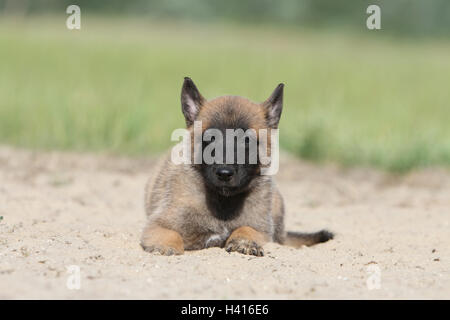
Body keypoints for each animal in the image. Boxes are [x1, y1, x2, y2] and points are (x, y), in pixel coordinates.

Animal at [142, 78, 334, 258]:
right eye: (210, 138)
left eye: (247, 140)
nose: (224, 174)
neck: (224, 201)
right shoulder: (157, 225)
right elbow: (171, 234)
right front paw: (166, 247)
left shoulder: (261, 229)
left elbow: (247, 229)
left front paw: (245, 242)